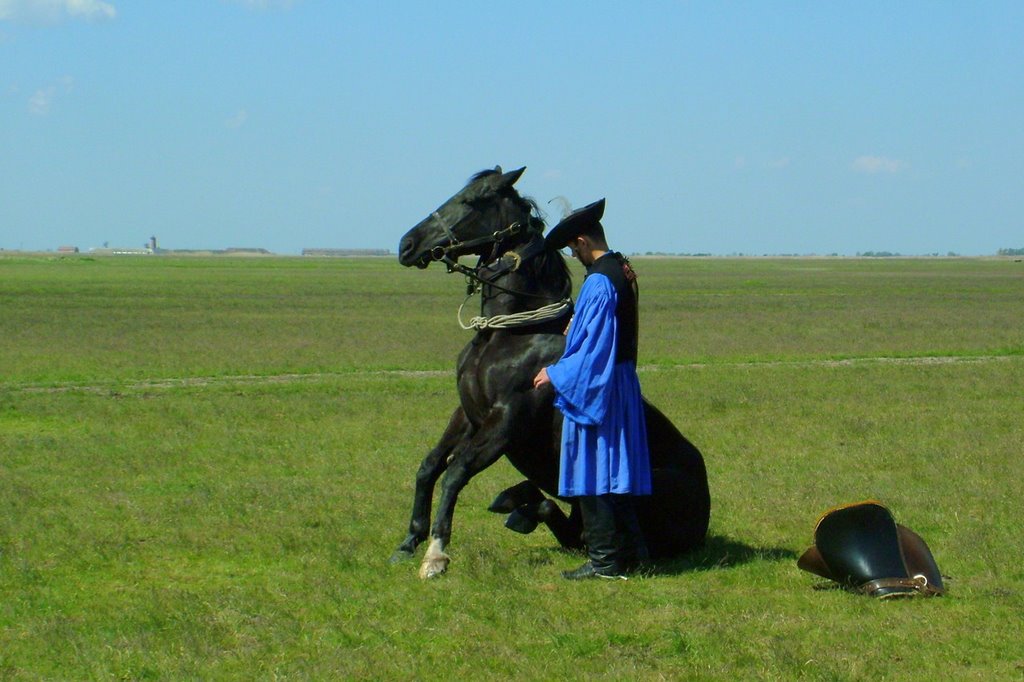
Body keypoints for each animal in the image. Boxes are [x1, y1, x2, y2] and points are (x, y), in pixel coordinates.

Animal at [395, 164, 708, 573]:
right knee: (565, 522)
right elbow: (430, 465)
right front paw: (409, 540)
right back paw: (516, 507)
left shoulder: (506, 421)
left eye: (471, 200)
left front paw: (436, 553)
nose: (407, 245)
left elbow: (455, 472)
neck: (511, 334)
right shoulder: (467, 414)